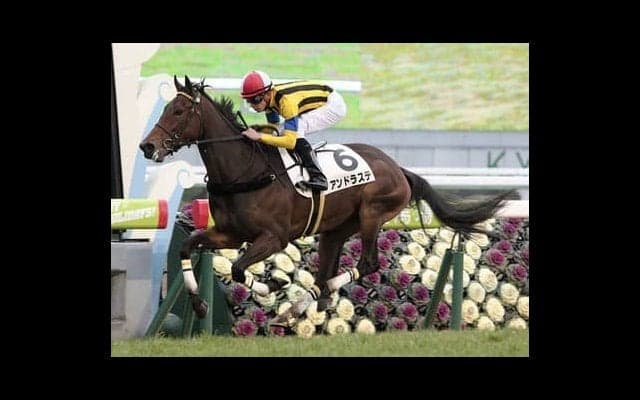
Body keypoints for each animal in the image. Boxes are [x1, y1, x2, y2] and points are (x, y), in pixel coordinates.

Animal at [139, 75, 514, 319]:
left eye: (178, 112)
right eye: (167, 108)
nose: (147, 146)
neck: (245, 171)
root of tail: (398, 167)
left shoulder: (273, 237)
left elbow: (238, 268)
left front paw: (271, 285)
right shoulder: (228, 233)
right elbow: (190, 247)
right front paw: (200, 304)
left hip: (372, 214)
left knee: (367, 265)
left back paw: (299, 302)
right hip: (335, 230)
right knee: (325, 274)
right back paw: (304, 303)